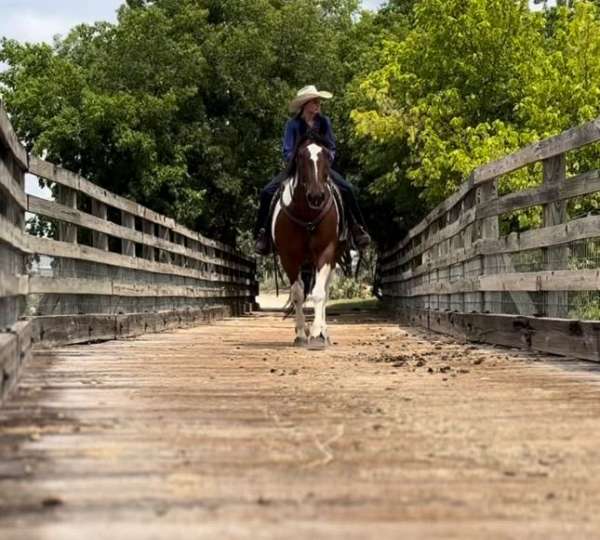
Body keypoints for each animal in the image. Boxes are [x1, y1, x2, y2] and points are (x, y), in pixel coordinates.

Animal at [272, 136, 342, 350]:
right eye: (301, 157)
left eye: (326, 155)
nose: (316, 196)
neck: (308, 215)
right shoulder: (289, 257)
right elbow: (298, 294)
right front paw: (302, 334)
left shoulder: (325, 253)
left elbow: (318, 294)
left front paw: (317, 334)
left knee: (325, 292)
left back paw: (324, 332)